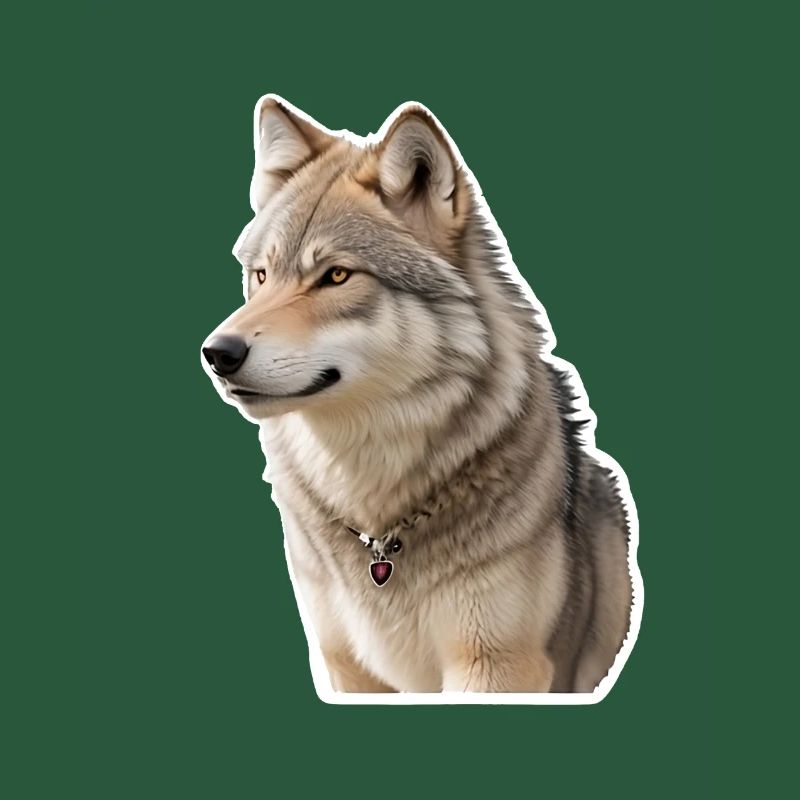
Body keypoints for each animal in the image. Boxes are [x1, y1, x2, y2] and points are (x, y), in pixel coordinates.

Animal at [201, 95, 640, 697]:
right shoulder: (348, 666)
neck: (379, 524)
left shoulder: (496, 665)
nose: (216, 353)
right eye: (262, 276)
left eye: (336, 276)